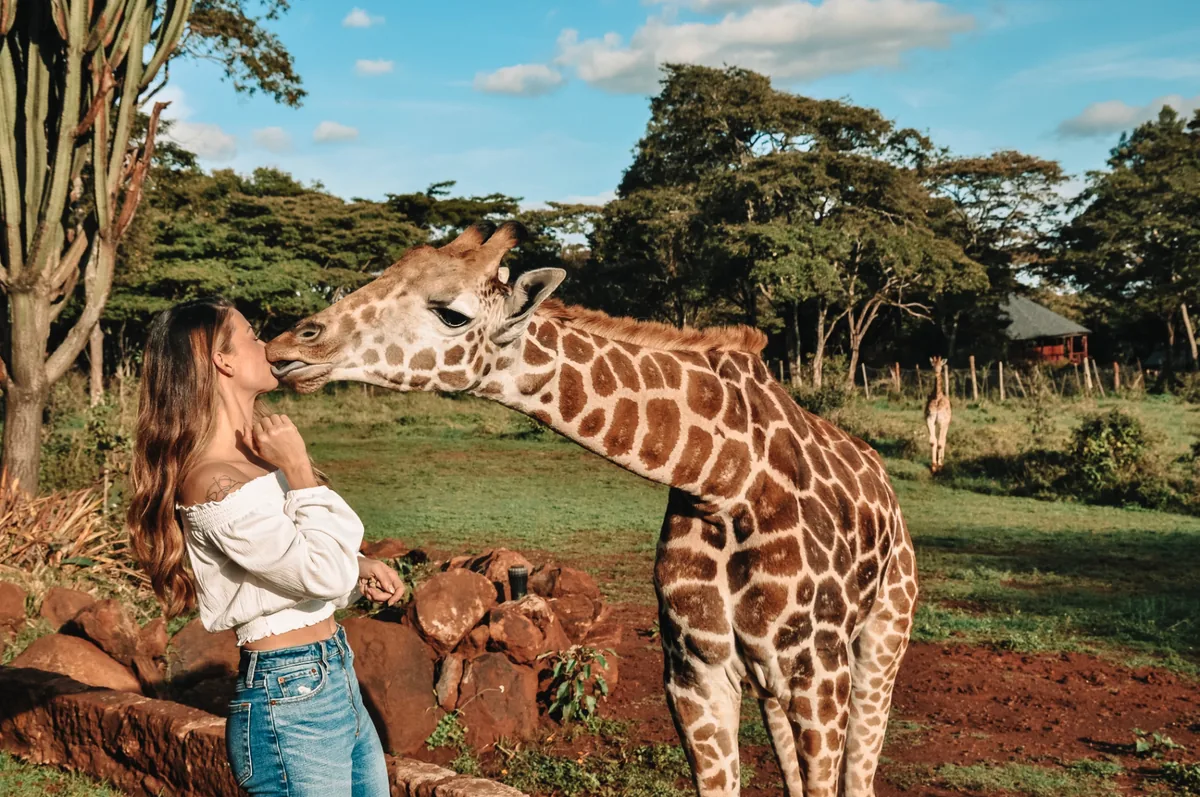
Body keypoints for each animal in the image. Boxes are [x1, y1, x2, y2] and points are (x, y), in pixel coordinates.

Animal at [265, 224, 918, 797]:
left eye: (452, 313)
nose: (287, 346)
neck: (723, 480)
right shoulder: (695, 674)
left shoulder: (819, 678)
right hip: (772, 682)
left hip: (881, 639)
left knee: (861, 767)